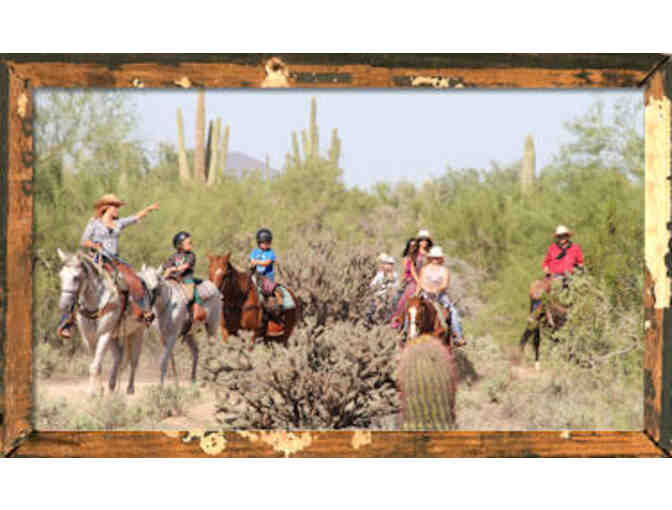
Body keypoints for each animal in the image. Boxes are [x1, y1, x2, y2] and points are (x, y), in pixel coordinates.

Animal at [57, 249, 147, 396]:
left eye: (76, 277)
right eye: (61, 275)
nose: (63, 305)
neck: (95, 303)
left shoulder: (104, 334)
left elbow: (95, 365)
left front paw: (92, 393)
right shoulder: (88, 337)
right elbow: (96, 364)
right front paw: (99, 390)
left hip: (137, 331)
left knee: (134, 360)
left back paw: (130, 388)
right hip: (114, 336)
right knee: (118, 356)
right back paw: (112, 385)